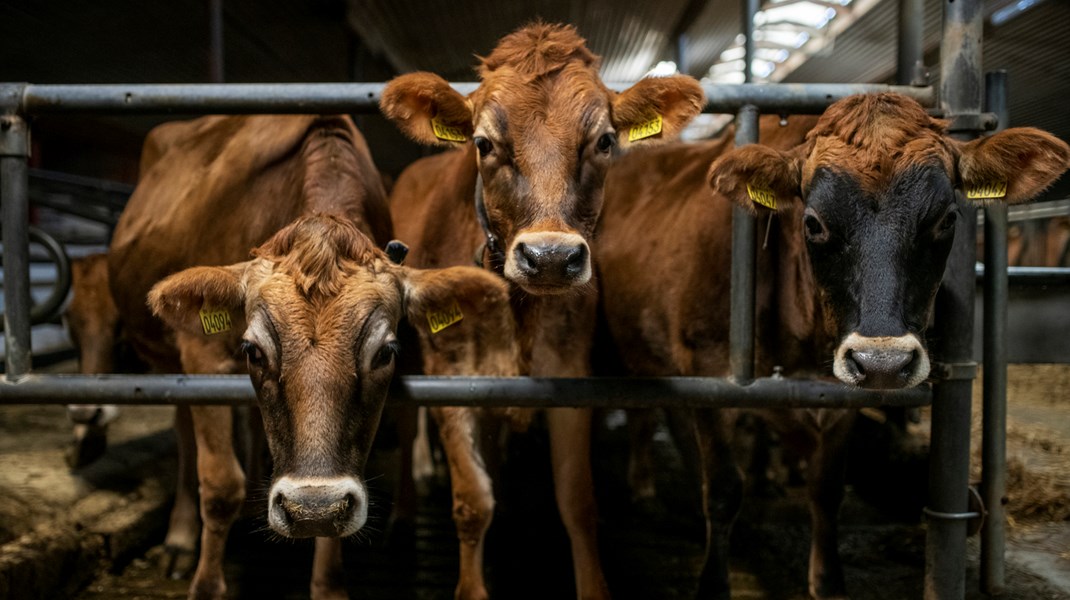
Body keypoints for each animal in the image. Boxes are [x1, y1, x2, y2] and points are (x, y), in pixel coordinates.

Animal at [108, 113, 517, 598]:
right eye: (253, 350)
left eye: (386, 352)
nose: (312, 506)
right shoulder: (202, 356)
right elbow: (220, 485)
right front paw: (206, 585)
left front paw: (328, 584)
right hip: (169, 362)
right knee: (186, 436)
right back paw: (181, 536)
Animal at [380, 22, 706, 598]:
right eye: (484, 143)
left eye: (604, 141)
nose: (550, 256)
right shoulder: (452, 377)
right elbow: (472, 503)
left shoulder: (570, 377)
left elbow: (577, 503)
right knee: (405, 421)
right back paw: (404, 506)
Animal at [594, 91, 1070, 594]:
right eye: (814, 223)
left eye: (946, 219)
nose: (883, 361)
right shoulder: (708, 371)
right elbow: (722, 490)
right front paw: (713, 583)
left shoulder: (840, 396)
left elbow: (826, 490)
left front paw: (828, 582)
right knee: (646, 414)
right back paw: (643, 490)